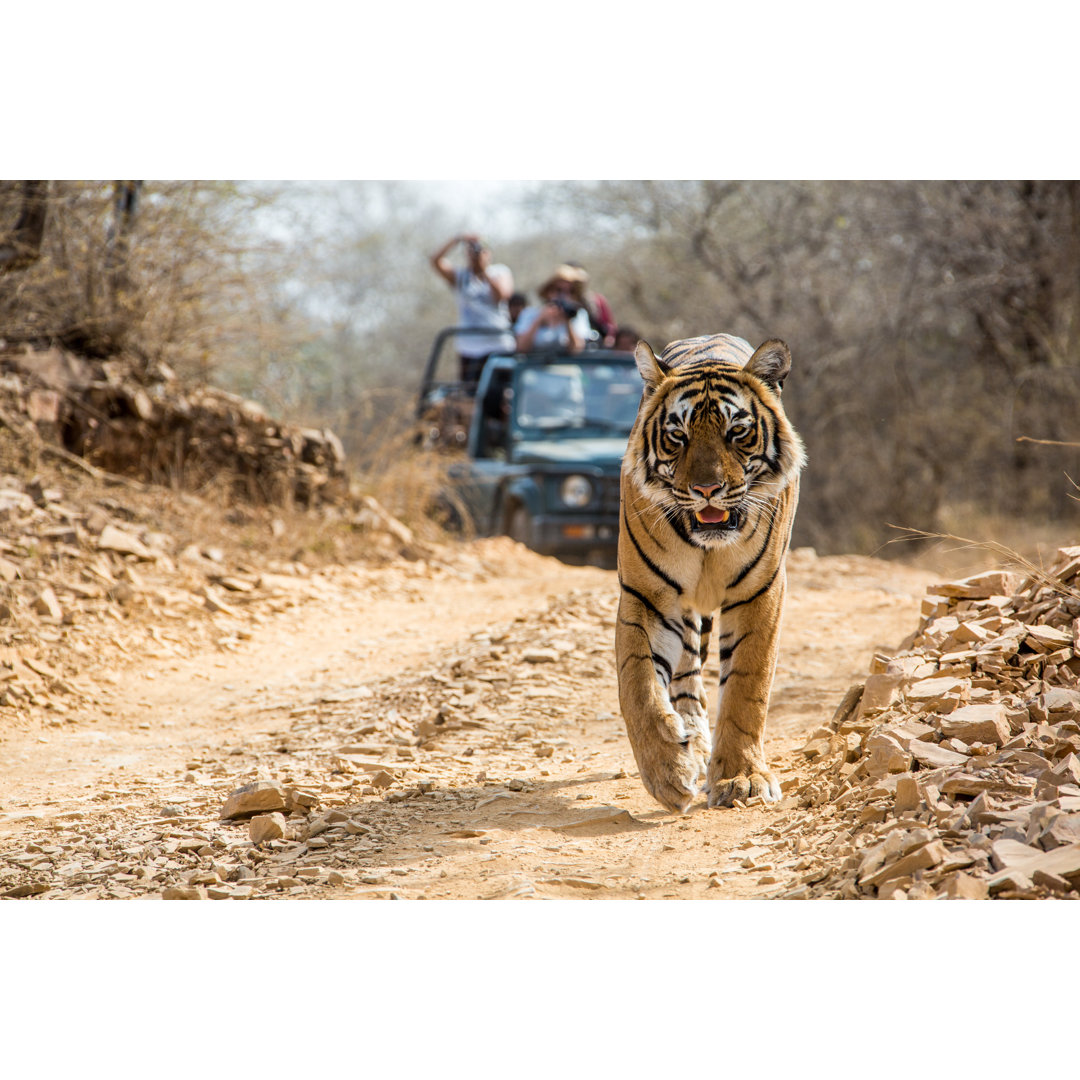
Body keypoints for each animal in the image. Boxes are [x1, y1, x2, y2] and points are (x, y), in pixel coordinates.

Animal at [613, 332, 807, 812]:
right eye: (677, 436)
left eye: (736, 432)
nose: (706, 489)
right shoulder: (646, 596)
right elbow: (638, 685)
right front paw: (667, 771)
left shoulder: (761, 593)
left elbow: (746, 689)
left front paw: (743, 779)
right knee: (685, 677)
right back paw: (692, 742)